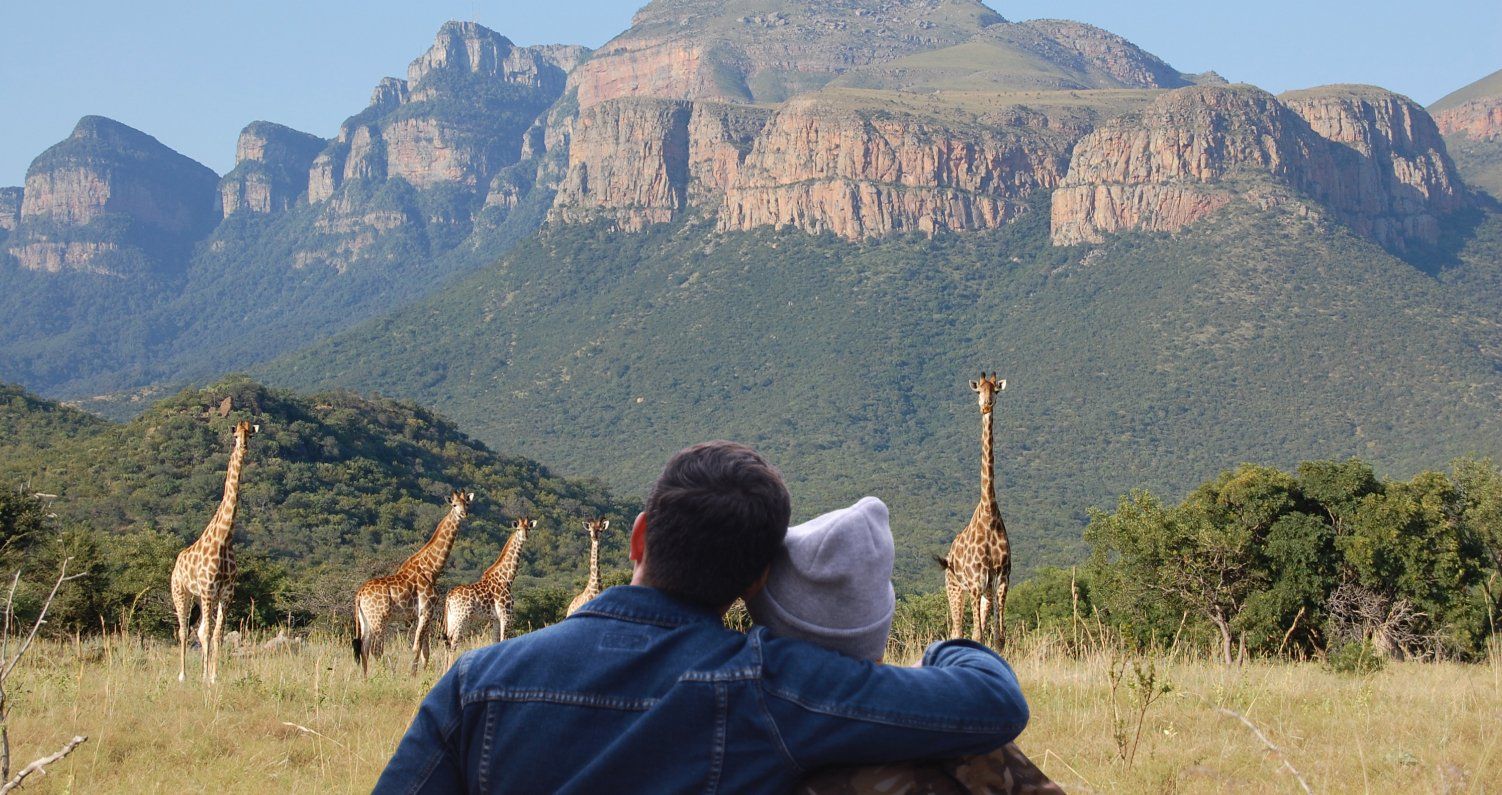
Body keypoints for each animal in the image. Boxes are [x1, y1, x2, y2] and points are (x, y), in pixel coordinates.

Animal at [170, 419, 258, 684]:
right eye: (236, 435)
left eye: (250, 435)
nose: (243, 448)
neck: (224, 538)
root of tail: (176, 562)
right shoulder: (209, 589)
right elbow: (208, 632)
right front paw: (205, 677)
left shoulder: (226, 592)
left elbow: (217, 633)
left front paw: (213, 675)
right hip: (181, 592)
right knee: (182, 630)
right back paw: (183, 675)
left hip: (199, 596)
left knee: (198, 630)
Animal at [352, 490, 473, 676]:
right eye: (454, 505)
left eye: (466, 504)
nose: (464, 514)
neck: (431, 569)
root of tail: (359, 594)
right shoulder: (426, 611)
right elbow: (417, 648)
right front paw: (413, 676)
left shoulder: (422, 614)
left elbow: (426, 651)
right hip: (379, 619)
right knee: (375, 649)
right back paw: (383, 676)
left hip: (365, 620)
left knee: (364, 648)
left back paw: (364, 678)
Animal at [444, 517, 534, 664]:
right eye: (518, 529)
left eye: (529, 529)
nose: (524, 537)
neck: (506, 578)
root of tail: (449, 597)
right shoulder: (506, 614)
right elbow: (503, 640)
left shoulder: (495, 618)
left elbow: (495, 642)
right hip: (461, 618)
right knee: (453, 643)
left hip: (451, 618)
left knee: (447, 642)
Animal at [939, 372, 1012, 650]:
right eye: (978, 390)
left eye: (996, 391)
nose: (986, 406)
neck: (989, 514)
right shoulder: (974, 582)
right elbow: (977, 635)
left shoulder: (1000, 579)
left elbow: (998, 638)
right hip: (954, 588)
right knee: (956, 630)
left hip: (983, 593)